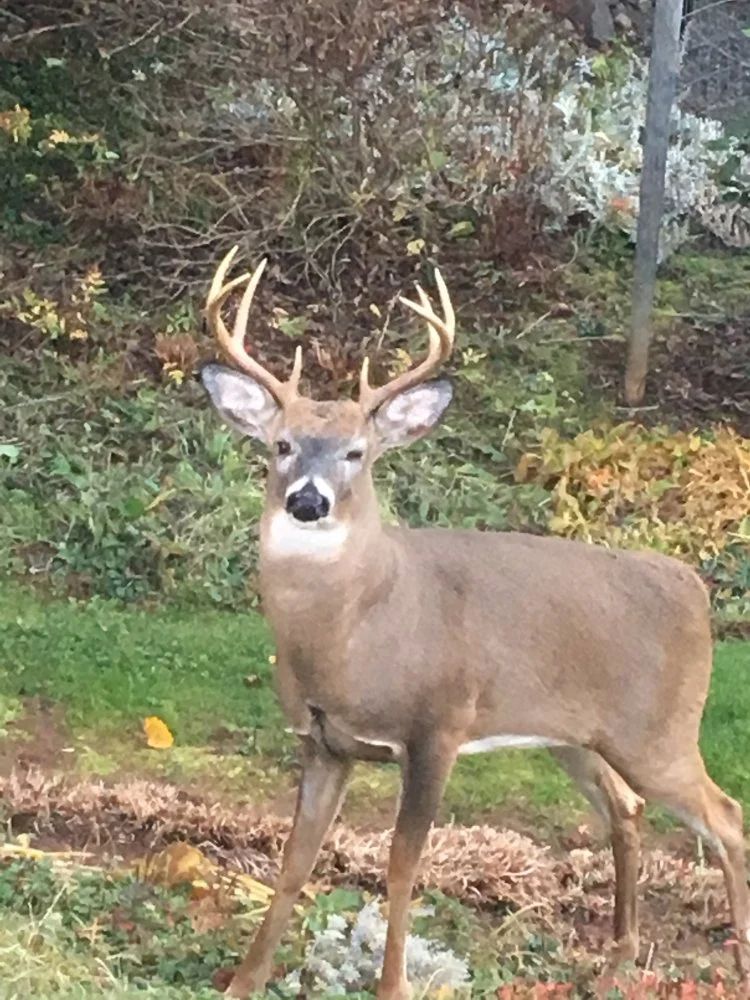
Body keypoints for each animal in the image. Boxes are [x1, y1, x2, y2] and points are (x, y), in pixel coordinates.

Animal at [199, 246, 750, 1000]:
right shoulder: (322, 740)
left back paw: (735, 962)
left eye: (357, 452)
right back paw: (616, 961)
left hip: (660, 730)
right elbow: (294, 860)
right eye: (282, 445)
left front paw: (394, 986)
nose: (308, 501)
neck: (353, 636)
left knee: (728, 818)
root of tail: (692, 587)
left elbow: (402, 865)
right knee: (627, 810)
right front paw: (243, 982)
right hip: (576, 735)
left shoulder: (439, 725)